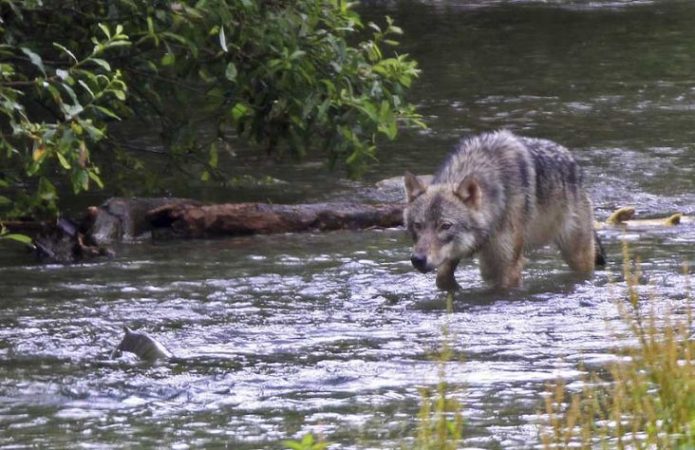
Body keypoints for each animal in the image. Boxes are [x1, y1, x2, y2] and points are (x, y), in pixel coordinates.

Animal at [402, 130, 604, 292]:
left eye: (445, 226)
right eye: (418, 225)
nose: (417, 259)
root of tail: (573, 162)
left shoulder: (508, 266)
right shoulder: (460, 255)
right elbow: (442, 279)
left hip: (577, 255)